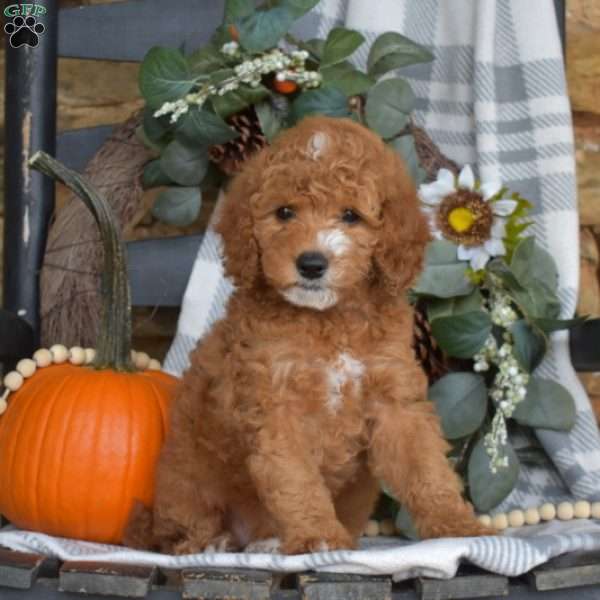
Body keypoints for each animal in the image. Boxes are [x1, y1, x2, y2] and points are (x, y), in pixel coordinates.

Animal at [125, 115, 492, 556]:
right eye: (284, 212)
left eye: (350, 216)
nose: (312, 264)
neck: (328, 321)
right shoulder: (277, 407)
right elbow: (296, 480)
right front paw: (317, 536)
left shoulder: (394, 398)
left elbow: (425, 467)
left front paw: (455, 524)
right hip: (187, 484)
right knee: (184, 535)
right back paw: (221, 543)